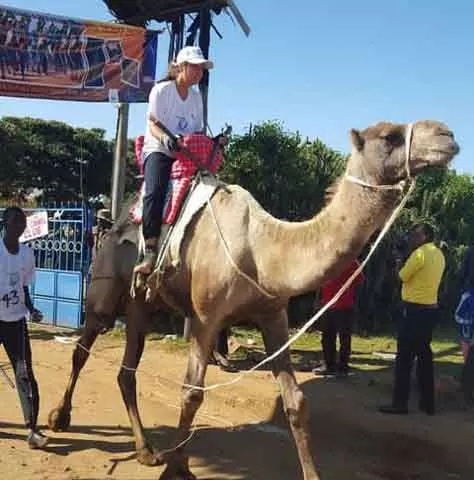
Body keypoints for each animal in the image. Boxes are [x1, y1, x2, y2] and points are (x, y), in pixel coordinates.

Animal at [48, 121, 460, 480]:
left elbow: (296, 402)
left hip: (141, 305)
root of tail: (115, 221)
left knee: (126, 371)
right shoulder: (205, 318)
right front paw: (176, 468)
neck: (262, 250)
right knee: (83, 348)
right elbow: (191, 394)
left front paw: (311, 473)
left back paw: (146, 449)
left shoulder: (273, 316)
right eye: (390, 136)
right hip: (106, 291)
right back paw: (59, 418)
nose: (447, 135)